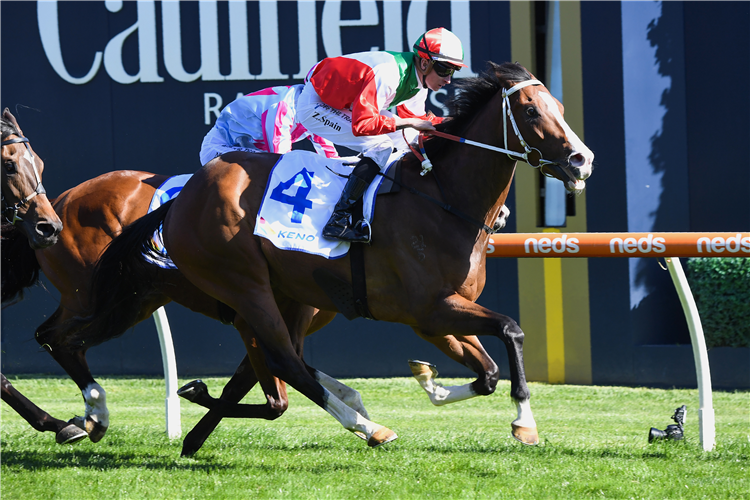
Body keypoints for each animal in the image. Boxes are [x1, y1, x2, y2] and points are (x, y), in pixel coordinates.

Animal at [73, 61, 596, 446]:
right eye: (531, 112)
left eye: (559, 105)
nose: (581, 160)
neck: (443, 198)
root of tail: (183, 197)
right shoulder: (430, 306)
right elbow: (511, 329)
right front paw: (524, 422)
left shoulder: (434, 315)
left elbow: (486, 372)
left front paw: (430, 381)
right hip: (244, 285)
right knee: (285, 362)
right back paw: (368, 426)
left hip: (286, 294)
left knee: (281, 362)